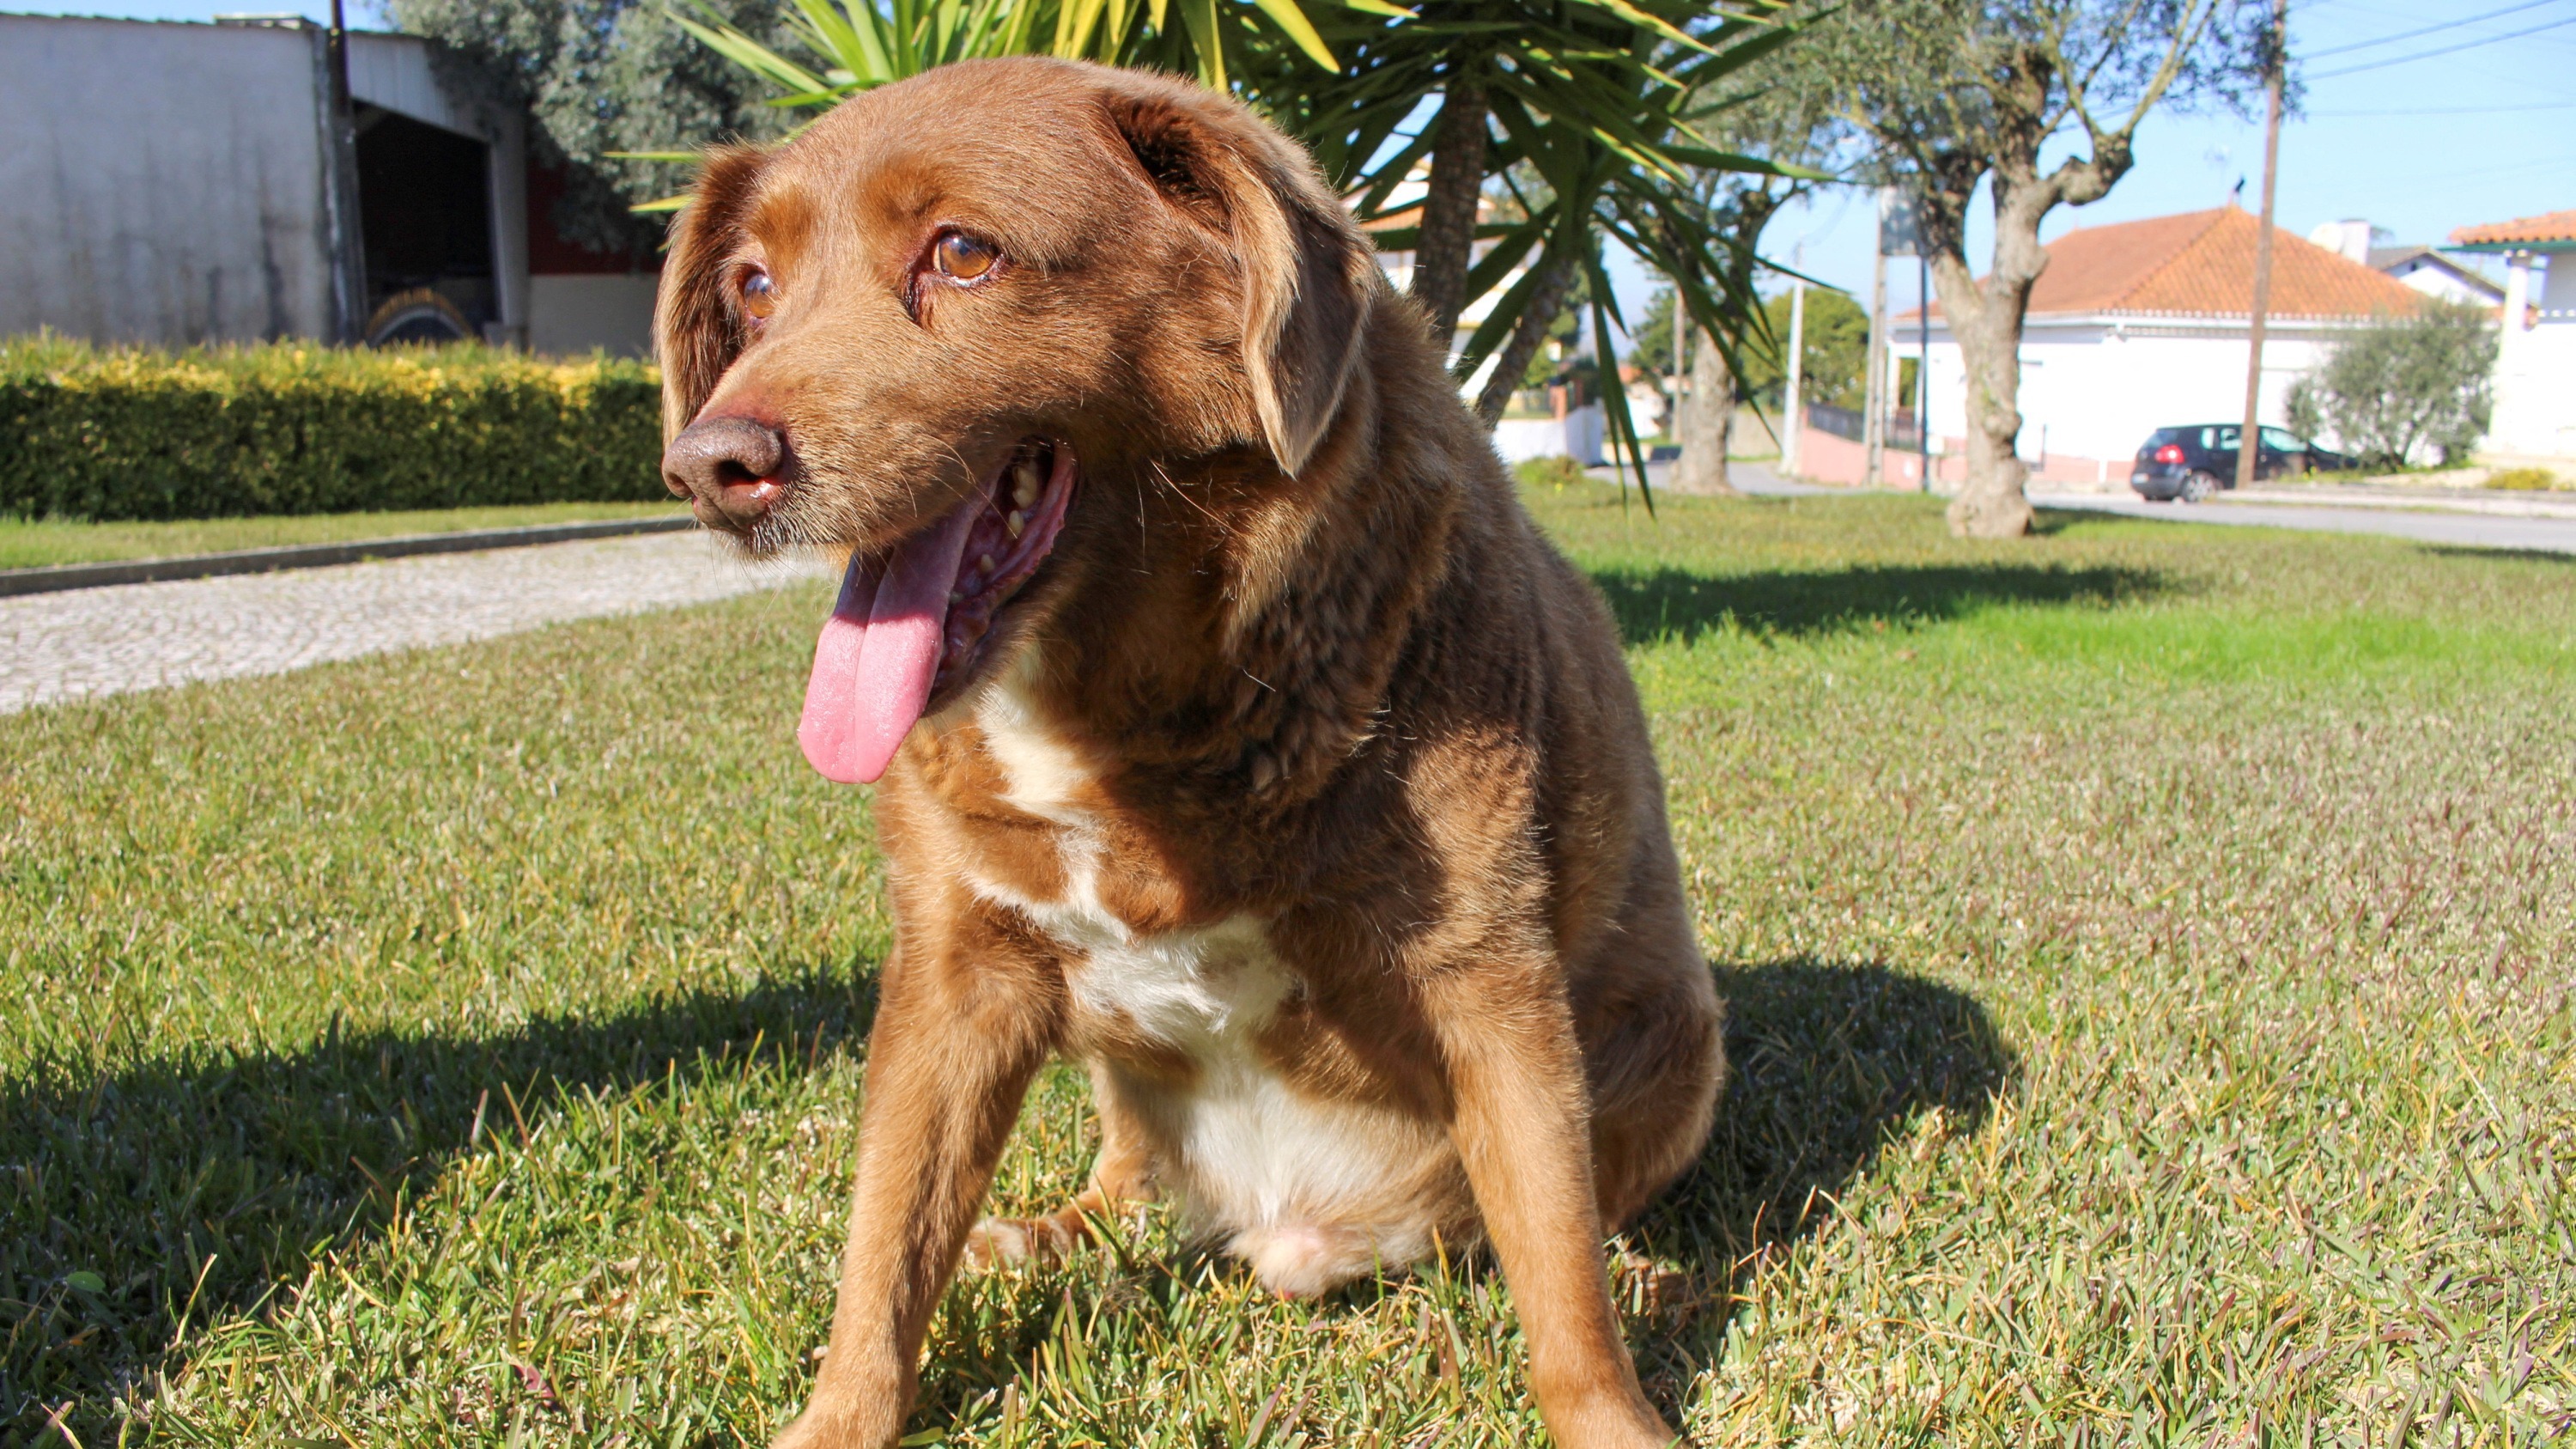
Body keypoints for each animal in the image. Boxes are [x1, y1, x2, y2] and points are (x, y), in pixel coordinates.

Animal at [654, 56, 1721, 1443]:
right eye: (753, 287)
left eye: (963, 252)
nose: (709, 466)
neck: (1119, 709)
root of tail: (1287, 1224)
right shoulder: (954, 973)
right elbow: (883, 1247)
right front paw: (840, 1417)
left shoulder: (1488, 977)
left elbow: (1562, 1275)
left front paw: (1617, 1412)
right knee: (1121, 1183)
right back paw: (1044, 1232)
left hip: (1678, 1045)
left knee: (1560, 1216)